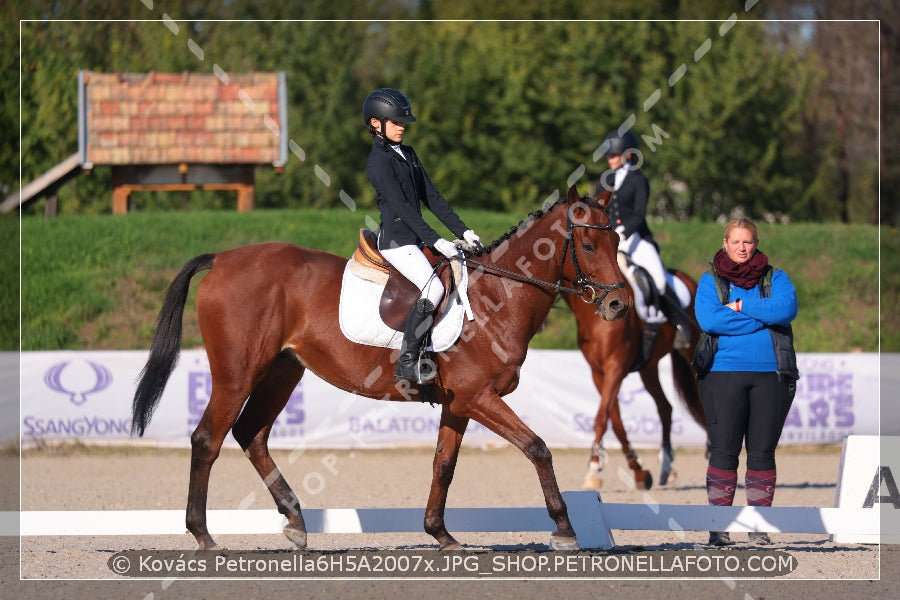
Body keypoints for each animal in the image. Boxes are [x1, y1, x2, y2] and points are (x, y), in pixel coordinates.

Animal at [132, 185, 624, 552]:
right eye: (587, 244)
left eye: (617, 242)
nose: (618, 305)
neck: (495, 299)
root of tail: (222, 258)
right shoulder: (478, 396)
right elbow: (537, 448)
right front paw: (565, 529)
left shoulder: (460, 403)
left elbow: (443, 465)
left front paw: (440, 534)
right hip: (237, 374)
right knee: (207, 440)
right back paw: (203, 535)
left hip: (282, 372)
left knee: (250, 433)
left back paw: (294, 520)